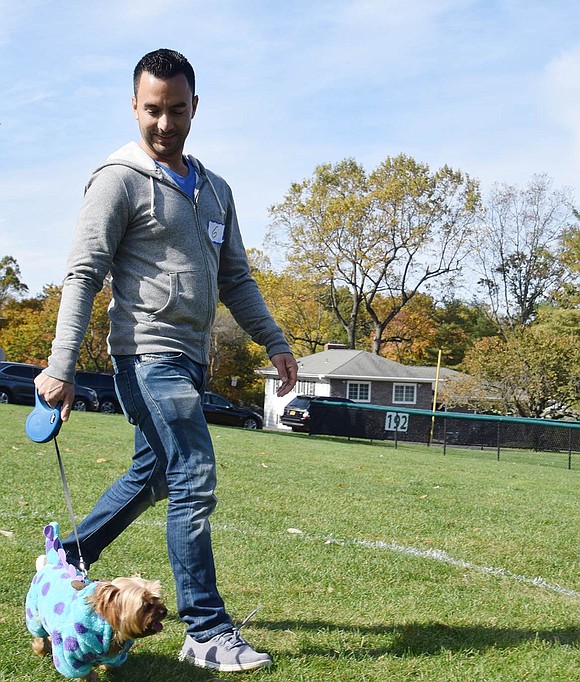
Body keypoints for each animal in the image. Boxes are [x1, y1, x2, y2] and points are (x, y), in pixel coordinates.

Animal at [26, 524, 167, 676]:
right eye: (146, 605)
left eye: (156, 599)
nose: (164, 611)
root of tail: (52, 563)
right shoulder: (70, 653)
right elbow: (82, 671)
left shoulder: (116, 654)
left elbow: (111, 662)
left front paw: (105, 667)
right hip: (34, 613)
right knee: (39, 633)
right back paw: (41, 649)